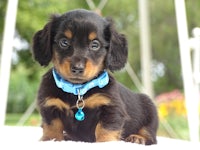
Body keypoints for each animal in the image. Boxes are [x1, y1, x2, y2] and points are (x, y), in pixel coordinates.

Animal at [32, 8, 159, 145]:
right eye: (64, 42)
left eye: (95, 44)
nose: (77, 68)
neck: (77, 89)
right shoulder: (50, 106)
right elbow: (52, 127)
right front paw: (51, 139)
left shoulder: (111, 108)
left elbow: (105, 129)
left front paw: (105, 142)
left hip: (150, 112)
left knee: (150, 136)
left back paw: (137, 137)